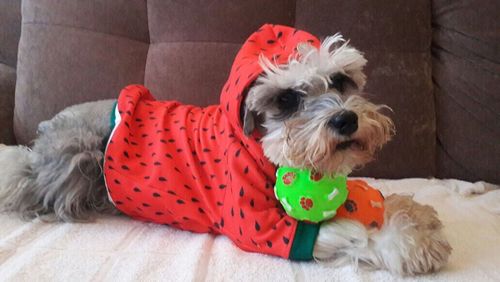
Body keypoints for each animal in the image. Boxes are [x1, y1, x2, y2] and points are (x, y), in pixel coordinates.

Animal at [0, 24, 452, 276]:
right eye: (287, 99)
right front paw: (410, 245)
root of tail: (39, 140)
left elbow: (371, 203)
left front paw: (415, 214)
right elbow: (345, 230)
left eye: (340, 80)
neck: (262, 150)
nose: (345, 121)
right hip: (76, 160)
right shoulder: (258, 225)